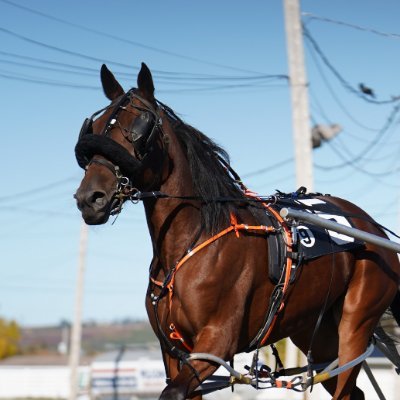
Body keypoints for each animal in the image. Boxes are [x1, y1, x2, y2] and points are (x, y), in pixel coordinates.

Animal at [73, 62, 398, 400]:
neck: (190, 244)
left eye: (139, 127)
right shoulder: (174, 353)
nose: (90, 197)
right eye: (95, 127)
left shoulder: (217, 343)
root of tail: (372, 226)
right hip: (314, 333)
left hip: (355, 325)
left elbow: (173, 391)